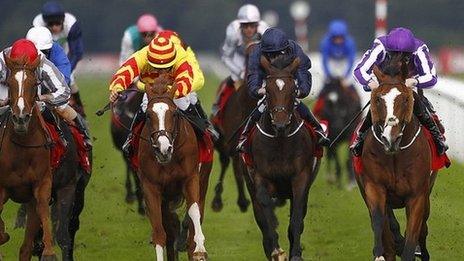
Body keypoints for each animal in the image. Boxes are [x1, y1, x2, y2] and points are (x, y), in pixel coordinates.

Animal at [0, 54, 57, 258]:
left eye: (34, 84)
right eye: (9, 83)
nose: (21, 118)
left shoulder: (42, 183)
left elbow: (43, 209)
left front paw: (48, 251)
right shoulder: (1, 189)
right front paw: (3, 234)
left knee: (25, 247)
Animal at [138, 74, 210, 258]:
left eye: (174, 113)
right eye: (148, 115)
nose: (163, 148)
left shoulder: (191, 178)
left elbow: (193, 211)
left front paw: (199, 248)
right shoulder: (150, 187)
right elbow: (159, 232)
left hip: (203, 181)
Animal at [245, 55, 320, 258]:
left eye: (293, 90)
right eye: (267, 91)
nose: (280, 125)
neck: (279, 142)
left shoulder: (301, 178)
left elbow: (296, 219)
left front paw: (295, 254)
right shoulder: (260, 178)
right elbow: (267, 216)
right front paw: (277, 251)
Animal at [358, 63, 436, 260]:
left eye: (406, 99)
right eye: (378, 99)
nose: (389, 139)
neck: (395, 155)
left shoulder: (417, 195)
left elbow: (413, 235)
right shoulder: (374, 187)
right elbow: (379, 223)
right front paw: (378, 253)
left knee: (423, 229)